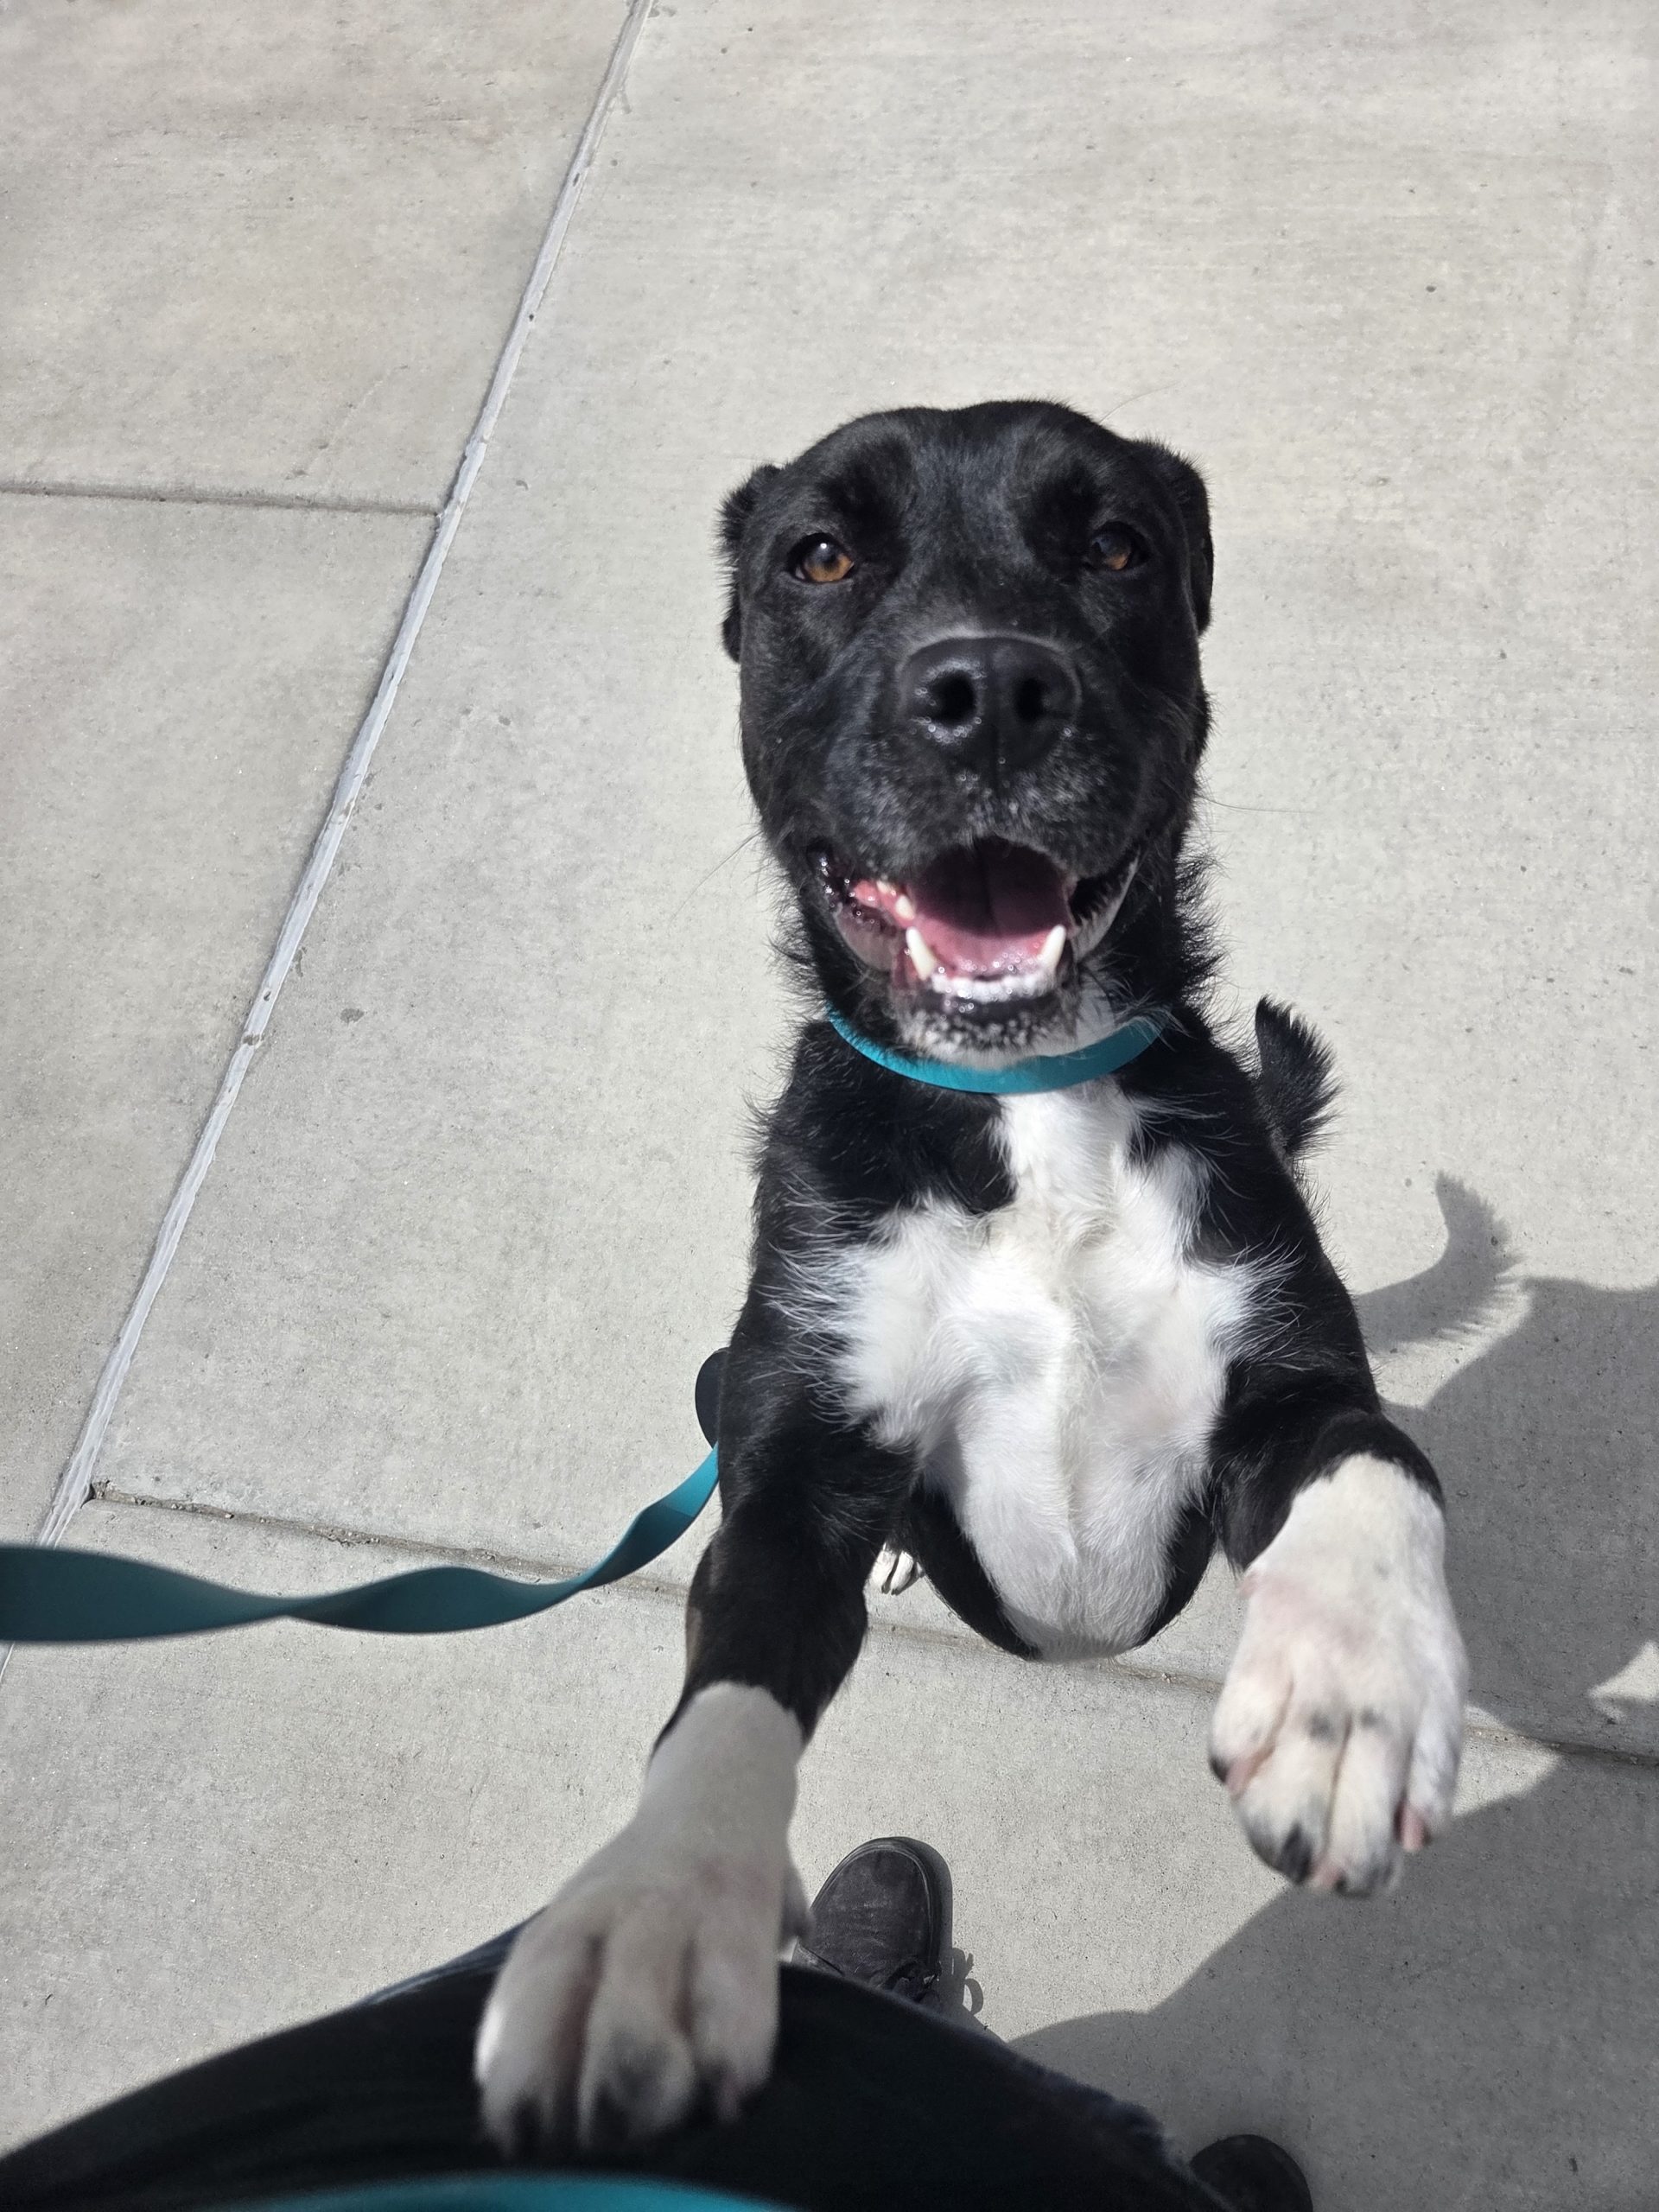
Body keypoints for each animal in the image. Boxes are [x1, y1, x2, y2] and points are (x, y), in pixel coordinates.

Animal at [476, 401, 1469, 2152]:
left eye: (1118, 543)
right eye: (819, 553)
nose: (992, 691)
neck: (1025, 1105)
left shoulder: (1285, 1375)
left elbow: (1370, 1464)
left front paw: (1351, 1697)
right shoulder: (797, 1456)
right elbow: (726, 1690)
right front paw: (654, 1909)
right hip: (726, 1384)